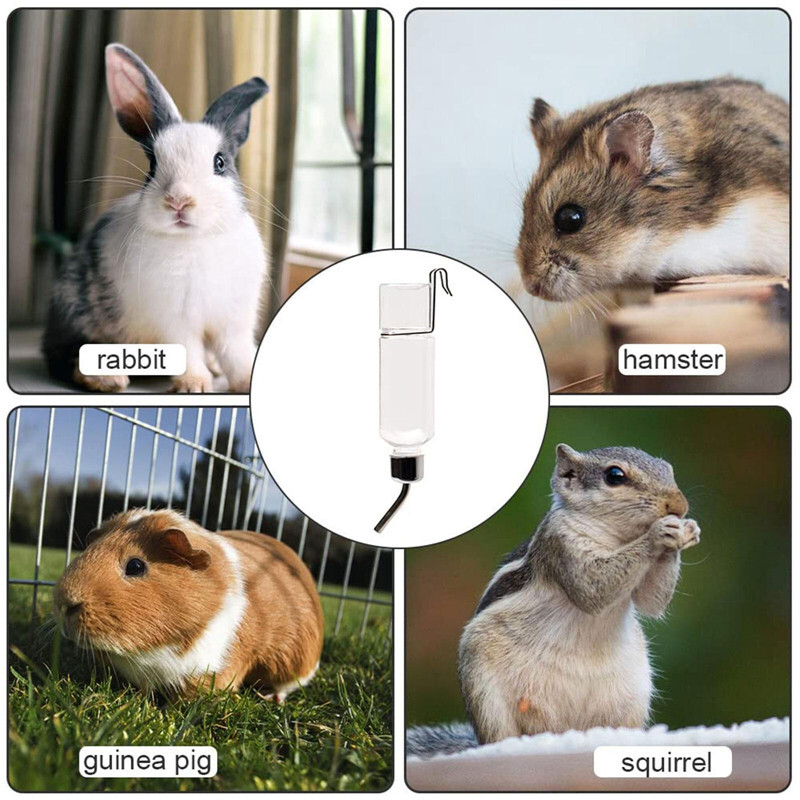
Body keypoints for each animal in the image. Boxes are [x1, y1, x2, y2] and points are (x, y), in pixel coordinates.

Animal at [42, 43, 270, 393]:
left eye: (220, 162)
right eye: (152, 166)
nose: (179, 200)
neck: (195, 240)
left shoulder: (234, 320)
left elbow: (237, 353)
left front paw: (245, 380)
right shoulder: (175, 319)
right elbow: (188, 349)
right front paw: (194, 384)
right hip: (76, 311)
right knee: (66, 356)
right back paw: (109, 378)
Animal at [53, 509, 324, 700]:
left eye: (136, 566)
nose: (65, 603)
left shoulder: (209, 671)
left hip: (295, 663)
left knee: (289, 685)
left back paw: (270, 698)